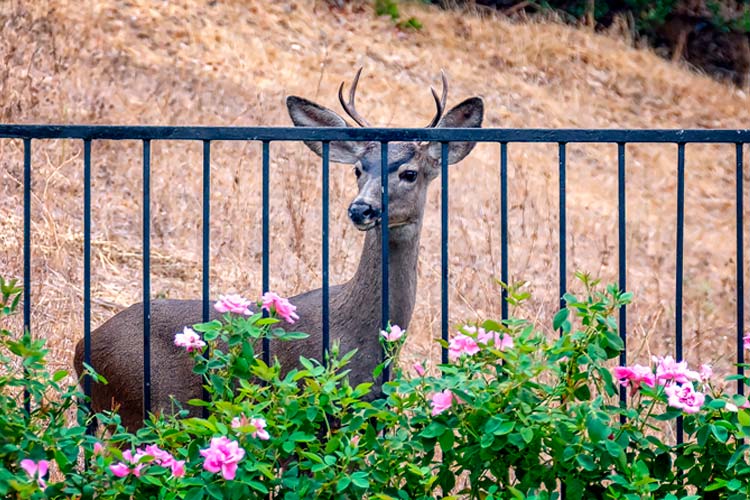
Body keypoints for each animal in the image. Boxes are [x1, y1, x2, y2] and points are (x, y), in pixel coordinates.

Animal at [73, 68, 484, 432]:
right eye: (358, 169)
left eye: (410, 173)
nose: (361, 209)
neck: (359, 333)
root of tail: (81, 352)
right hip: (142, 406)